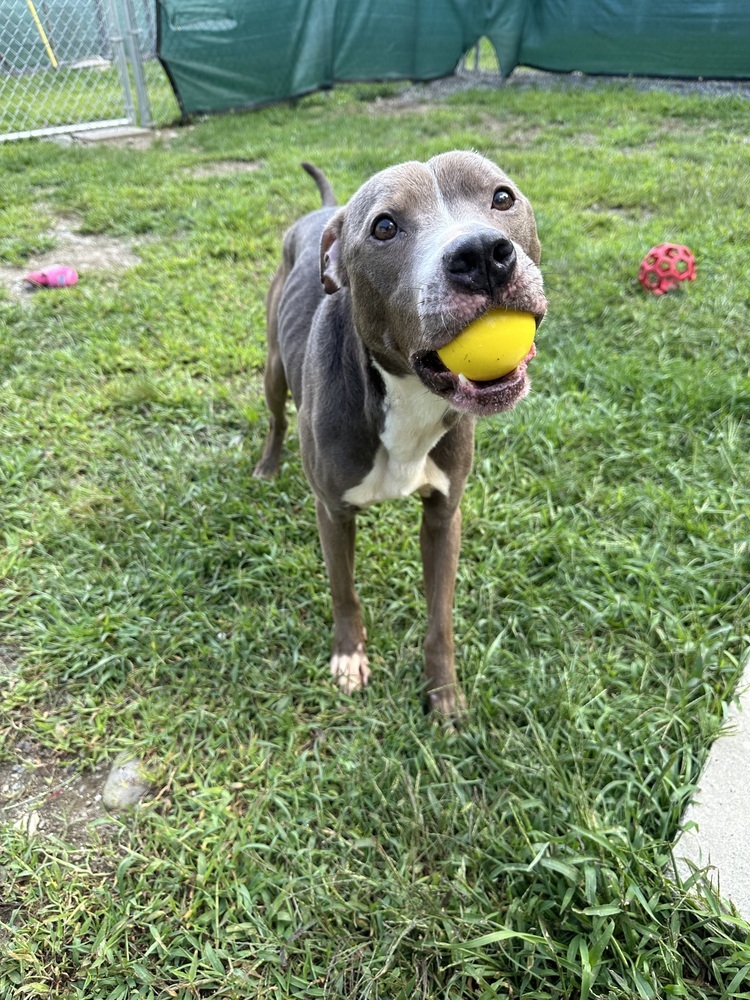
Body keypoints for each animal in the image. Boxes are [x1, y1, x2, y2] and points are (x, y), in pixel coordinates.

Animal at [258, 152, 548, 716]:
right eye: (385, 227)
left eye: (502, 197)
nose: (483, 255)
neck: (411, 397)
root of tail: (323, 212)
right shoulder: (333, 512)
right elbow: (344, 592)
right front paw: (349, 657)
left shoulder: (444, 515)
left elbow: (441, 618)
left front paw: (444, 692)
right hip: (275, 367)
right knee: (277, 415)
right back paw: (267, 465)